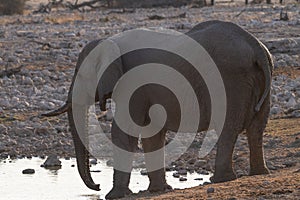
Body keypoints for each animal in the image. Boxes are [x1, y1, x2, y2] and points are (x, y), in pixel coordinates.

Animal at [42, 20, 274, 198]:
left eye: (79, 75)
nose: (97, 186)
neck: (109, 40)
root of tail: (256, 46)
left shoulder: (132, 81)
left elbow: (124, 131)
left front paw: (114, 196)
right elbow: (151, 132)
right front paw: (158, 189)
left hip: (230, 79)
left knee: (228, 127)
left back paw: (220, 179)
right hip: (262, 78)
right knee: (257, 127)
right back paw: (259, 173)